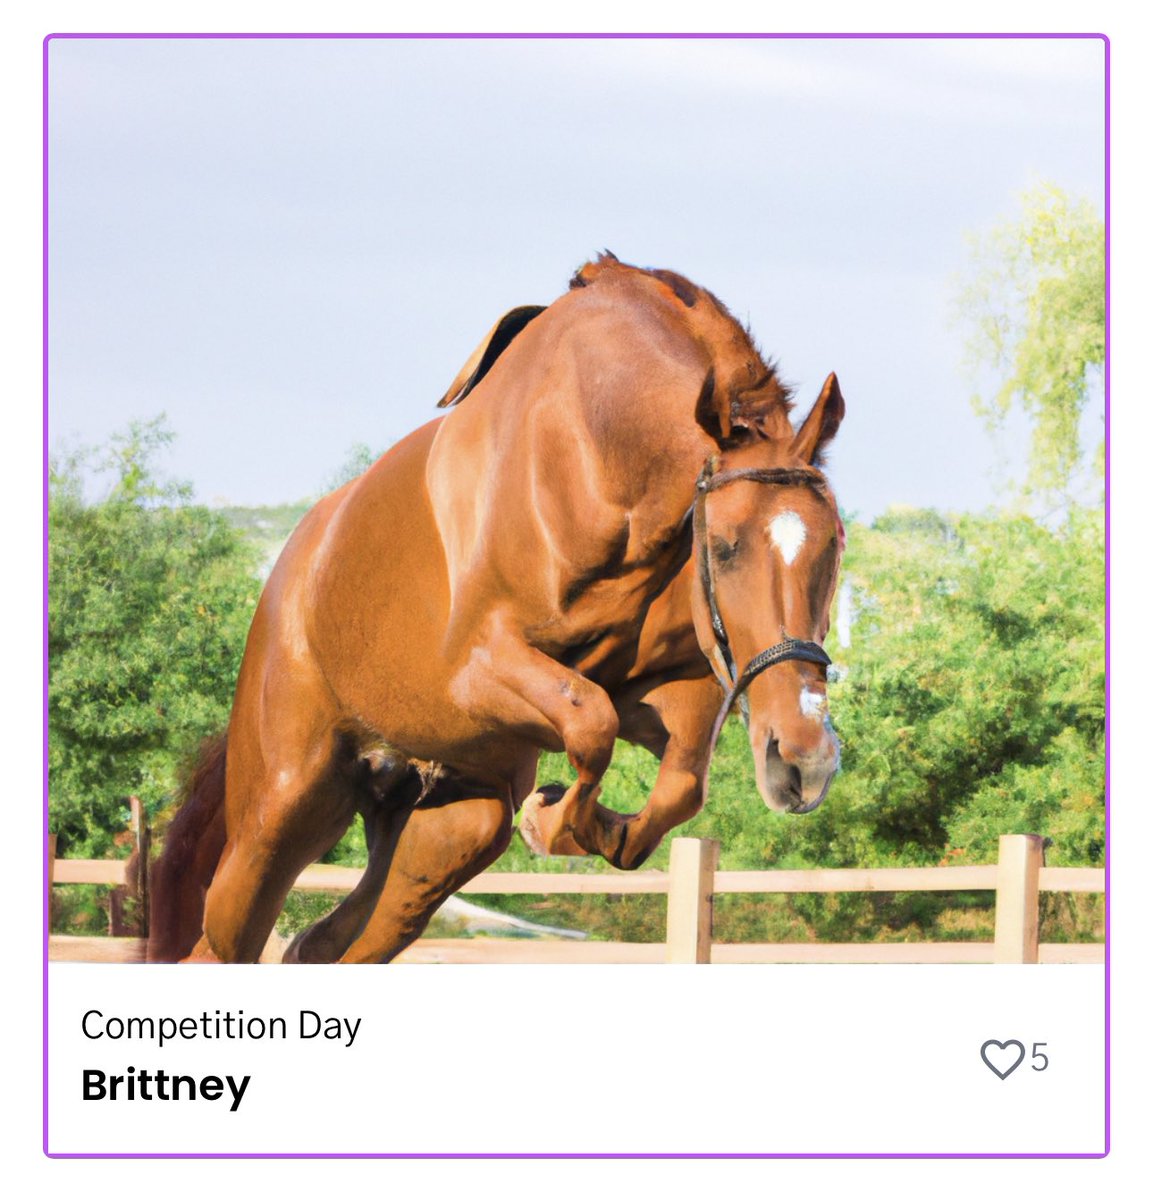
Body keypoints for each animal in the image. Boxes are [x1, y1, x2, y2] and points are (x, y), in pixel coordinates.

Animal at [146, 254, 845, 964]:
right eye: (725, 548)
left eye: (836, 545)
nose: (805, 764)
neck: (596, 453)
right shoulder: (478, 666)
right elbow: (590, 721)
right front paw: (550, 818)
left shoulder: (656, 688)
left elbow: (679, 785)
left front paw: (595, 826)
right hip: (282, 808)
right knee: (224, 938)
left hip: (452, 830)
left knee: (322, 945)